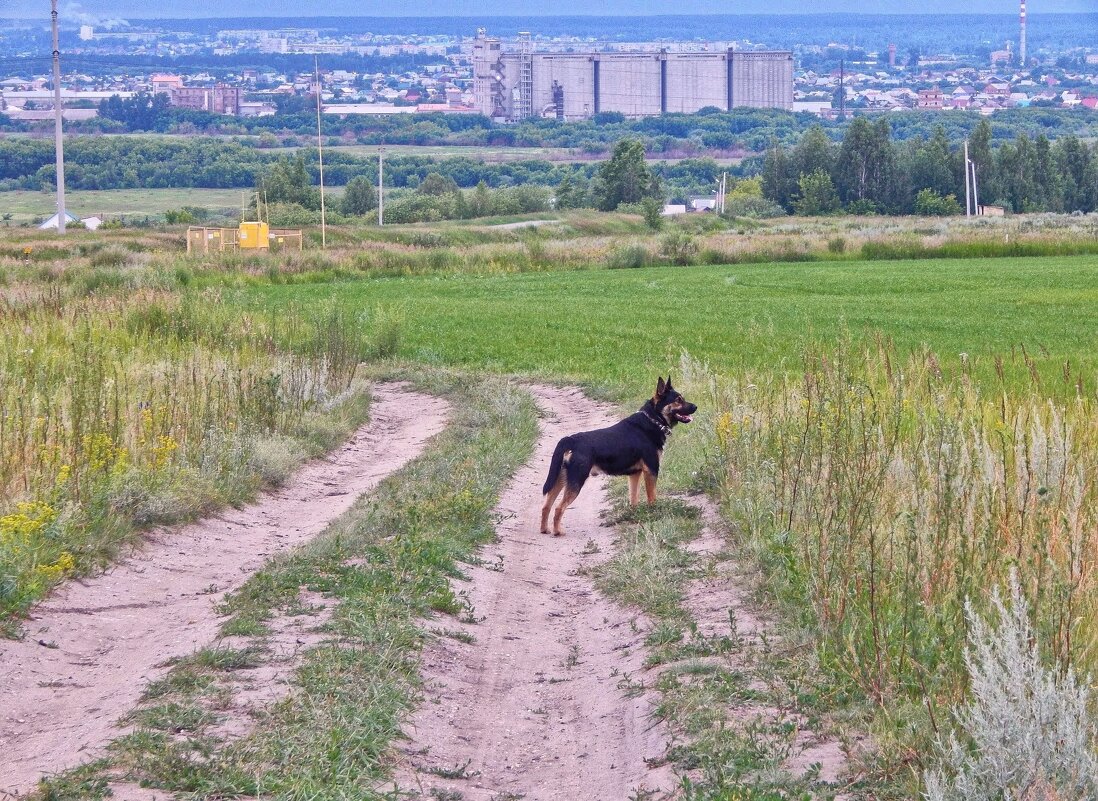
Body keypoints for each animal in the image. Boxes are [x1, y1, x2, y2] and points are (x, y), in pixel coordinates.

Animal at [540, 375, 693, 537]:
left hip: (560, 479)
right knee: (559, 508)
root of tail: (570, 439)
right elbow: (652, 497)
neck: (653, 420)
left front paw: (635, 517)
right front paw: (654, 514)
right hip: (576, 480)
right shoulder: (651, 470)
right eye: (678, 400)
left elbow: (633, 499)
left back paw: (545, 529)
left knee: (546, 505)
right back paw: (558, 531)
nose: (695, 407)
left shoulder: (635, 474)